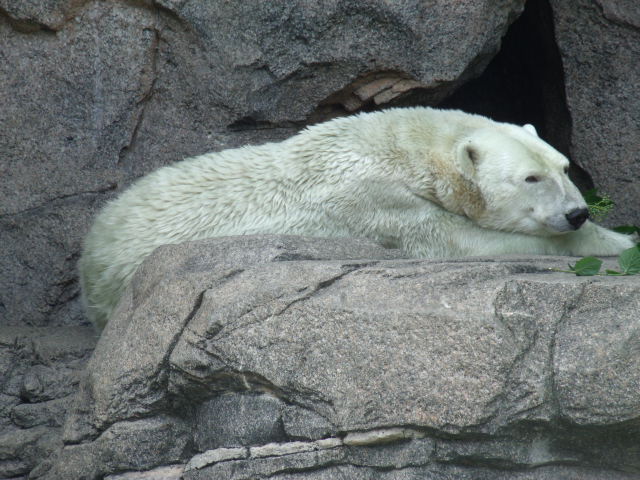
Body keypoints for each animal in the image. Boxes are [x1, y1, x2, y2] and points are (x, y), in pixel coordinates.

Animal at [79, 107, 636, 331]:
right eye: (529, 178)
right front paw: (620, 241)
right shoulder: (374, 200)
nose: (576, 211)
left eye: (563, 166)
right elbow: (456, 241)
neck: (399, 148)